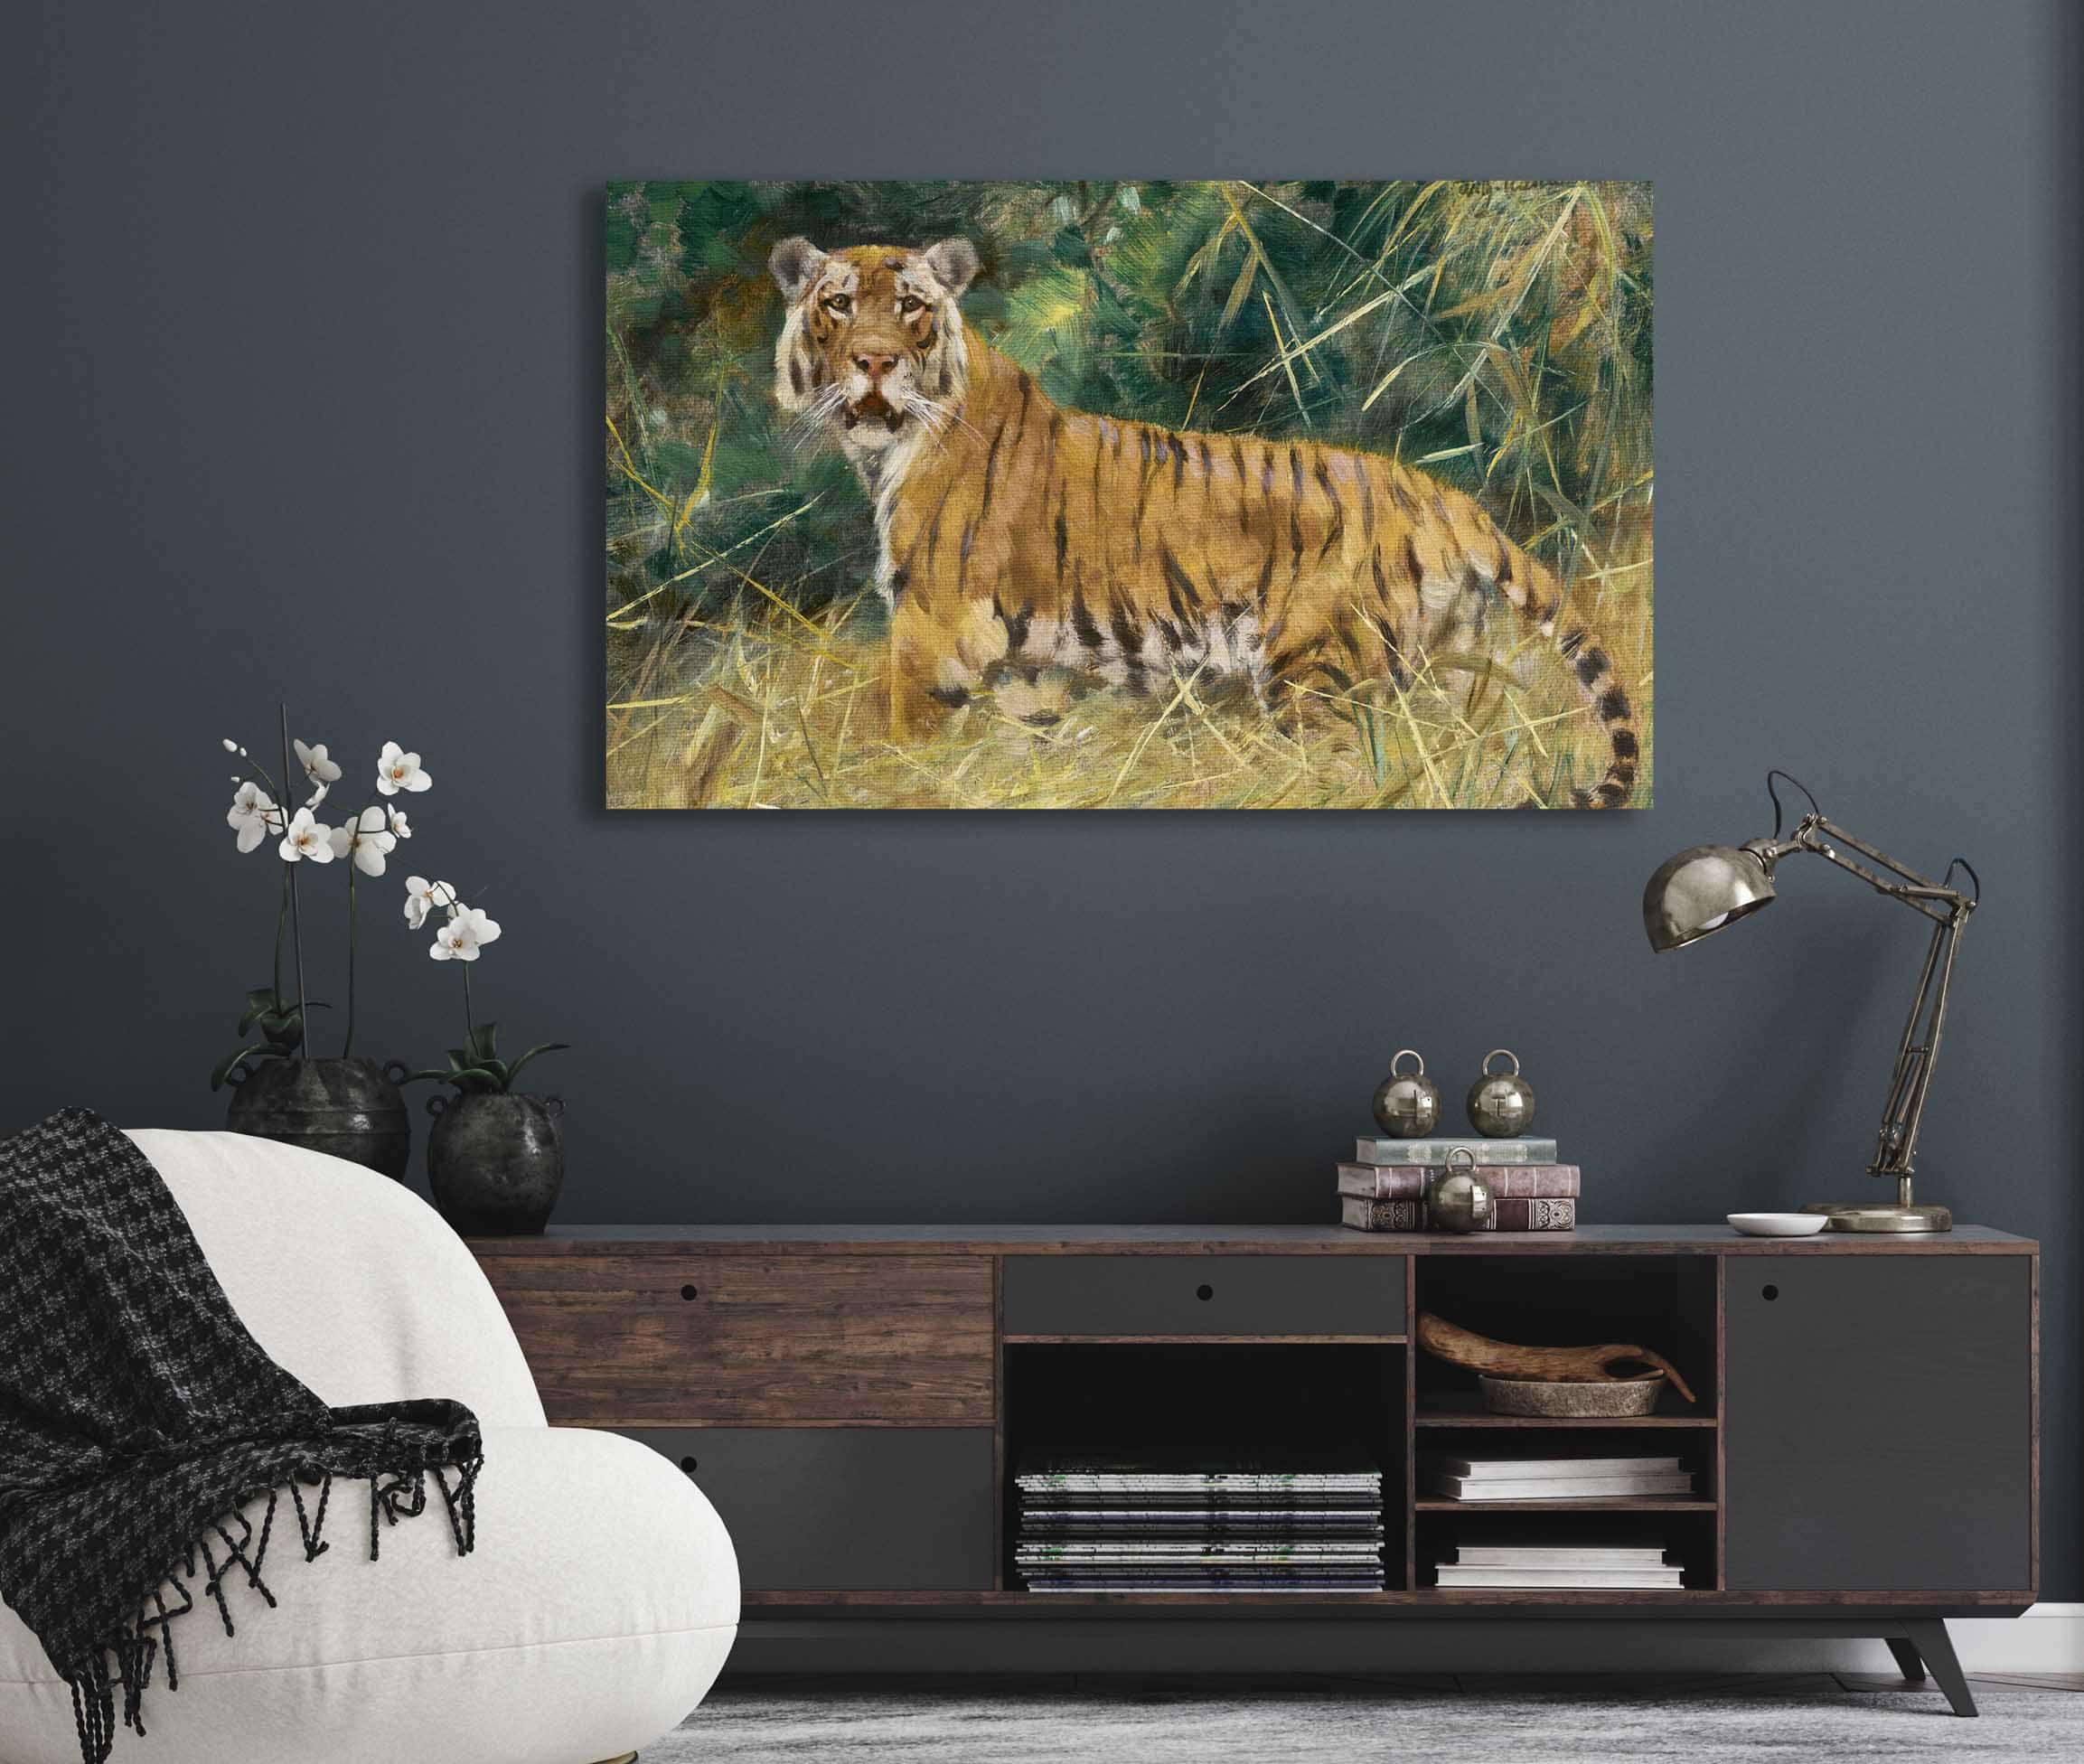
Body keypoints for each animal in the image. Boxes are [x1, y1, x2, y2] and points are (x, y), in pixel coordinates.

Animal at [768, 234, 1642, 807]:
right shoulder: (1028, 669)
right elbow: (1023, 744)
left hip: (1315, 675)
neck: (888, 449)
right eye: (839, 304)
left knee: (1345, 770)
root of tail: (1443, 497)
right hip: (1448, 669)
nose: (874, 362)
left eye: (911, 307)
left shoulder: (932, 636)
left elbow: (903, 745)